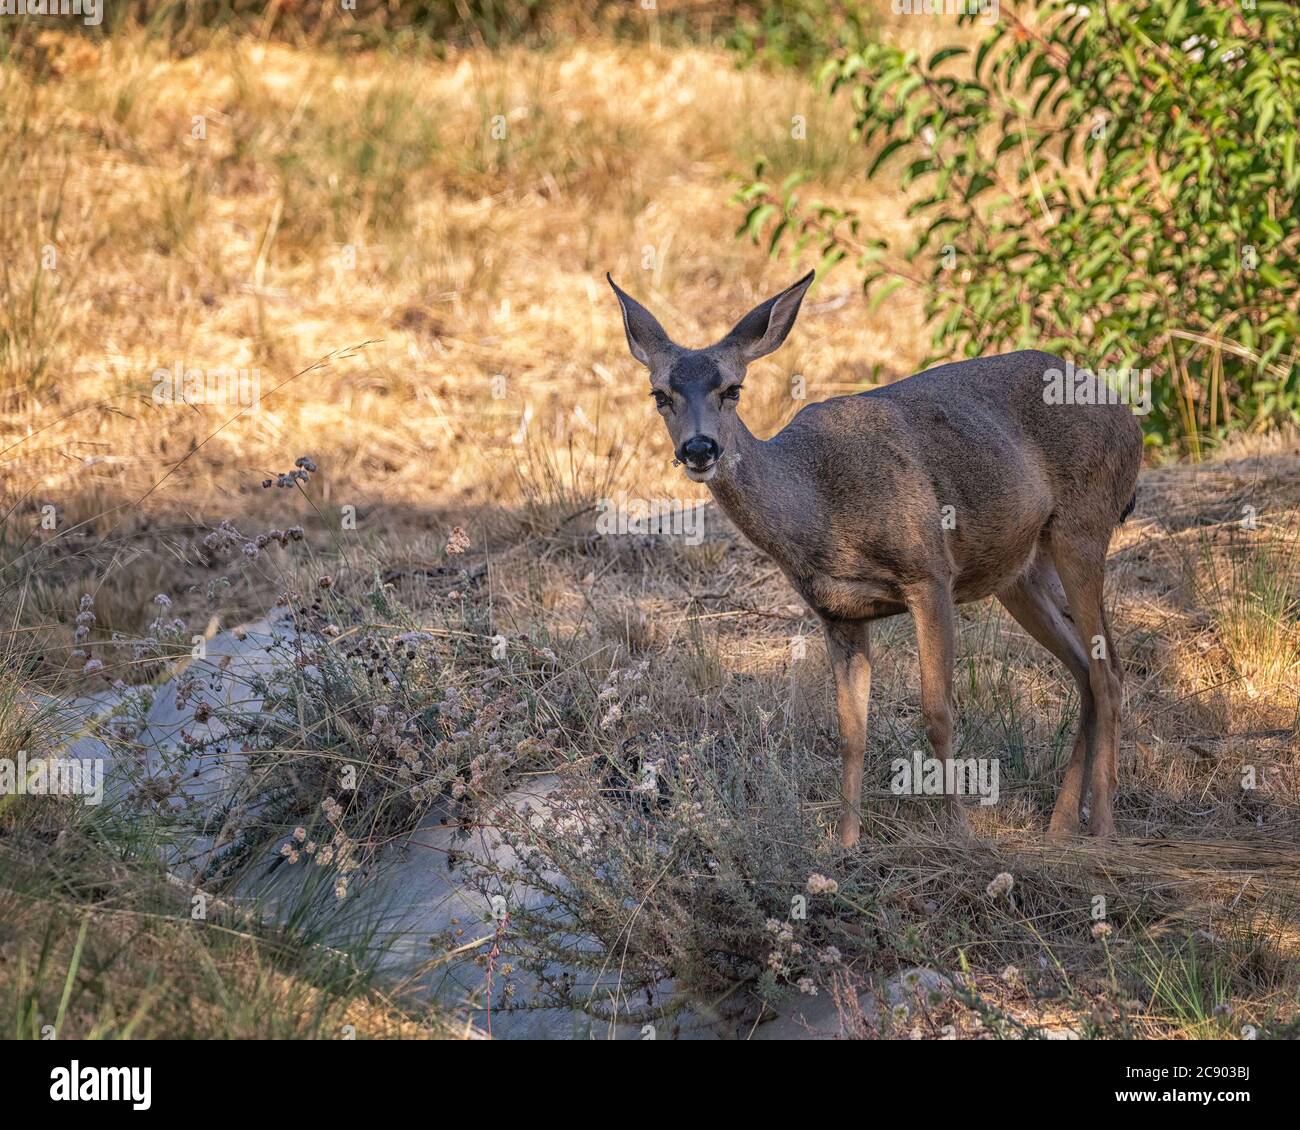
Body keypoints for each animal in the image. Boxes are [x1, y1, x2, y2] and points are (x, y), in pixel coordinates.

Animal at [605, 269, 1138, 842]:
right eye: (660, 394)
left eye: (733, 389)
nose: (700, 449)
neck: (821, 512)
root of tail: (1127, 416)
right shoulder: (838, 612)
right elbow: (850, 732)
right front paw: (844, 844)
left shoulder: (930, 571)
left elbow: (937, 713)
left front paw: (961, 832)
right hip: (1019, 572)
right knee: (1085, 670)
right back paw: (1060, 826)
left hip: (1084, 524)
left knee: (1108, 673)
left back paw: (1103, 828)